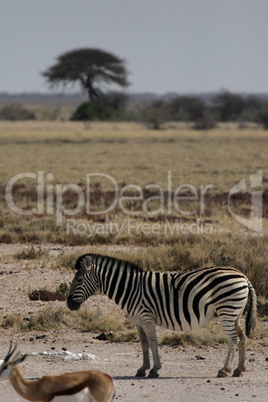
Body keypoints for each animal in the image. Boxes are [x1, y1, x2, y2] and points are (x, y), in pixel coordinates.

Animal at [66, 253, 255, 378]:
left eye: (79, 280)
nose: (68, 304)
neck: (130, 288)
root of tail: (243, 276)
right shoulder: (138, 321)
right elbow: (143, 344)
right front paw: (143, 369)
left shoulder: (146, 317)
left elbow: (153, 342)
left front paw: (154, 370)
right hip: (235, 313)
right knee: (243, 337)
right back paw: (239, 370)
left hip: (227, 310)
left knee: (233, 339)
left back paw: (224, 370)